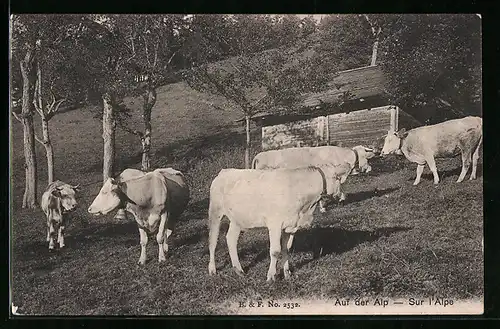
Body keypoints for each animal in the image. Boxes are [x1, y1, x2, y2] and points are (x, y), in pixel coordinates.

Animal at [205, 163, 350, 280]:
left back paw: (239, 270)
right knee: (213, 241)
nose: (340, 195)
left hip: (237, 219)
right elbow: (275, 251)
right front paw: (271, 276)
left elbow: (287, 249)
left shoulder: (291, 226)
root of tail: (224, 171)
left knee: (231, 239)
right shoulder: (275, 225)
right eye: (337, 178)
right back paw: (212, 269)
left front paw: (287, 273)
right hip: (215, 211)